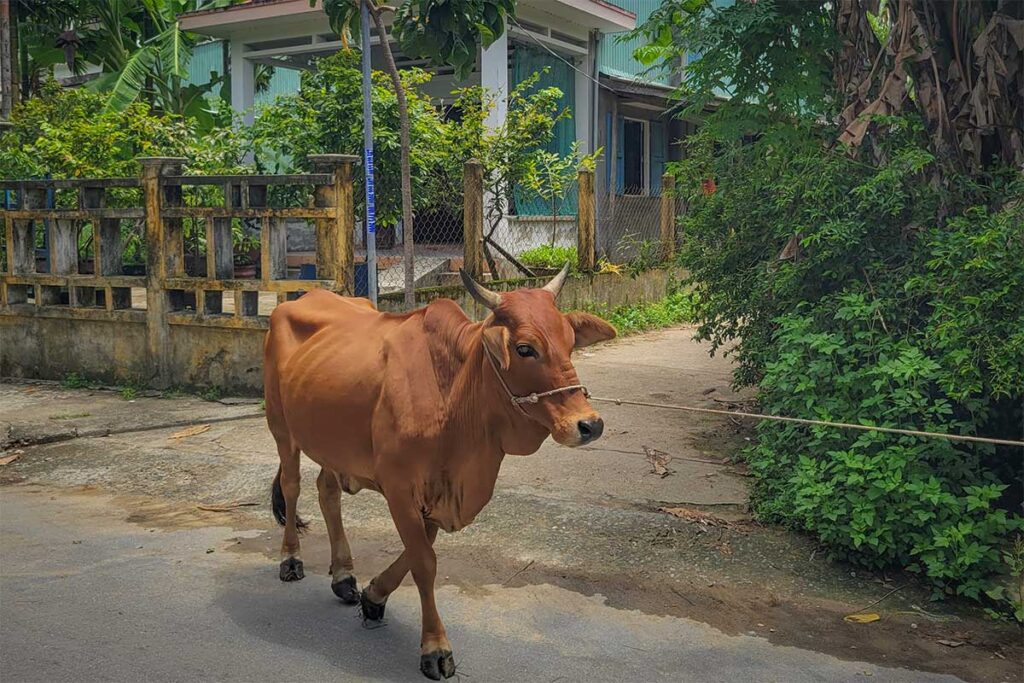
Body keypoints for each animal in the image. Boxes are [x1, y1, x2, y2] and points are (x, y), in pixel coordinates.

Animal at [263, 264, 615, 679]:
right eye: (525, 348)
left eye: (570, 341)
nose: (589, 424)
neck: (452, 395)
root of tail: (300, 299)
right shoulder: (400, 489)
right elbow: (424, 563)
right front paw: (434, 648)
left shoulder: (435, 493)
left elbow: (419, 552)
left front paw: (372, 595)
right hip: (281, 427)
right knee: (292, 486)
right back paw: (290, 559)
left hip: (331, 444)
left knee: (327, 492)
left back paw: (344, 576)